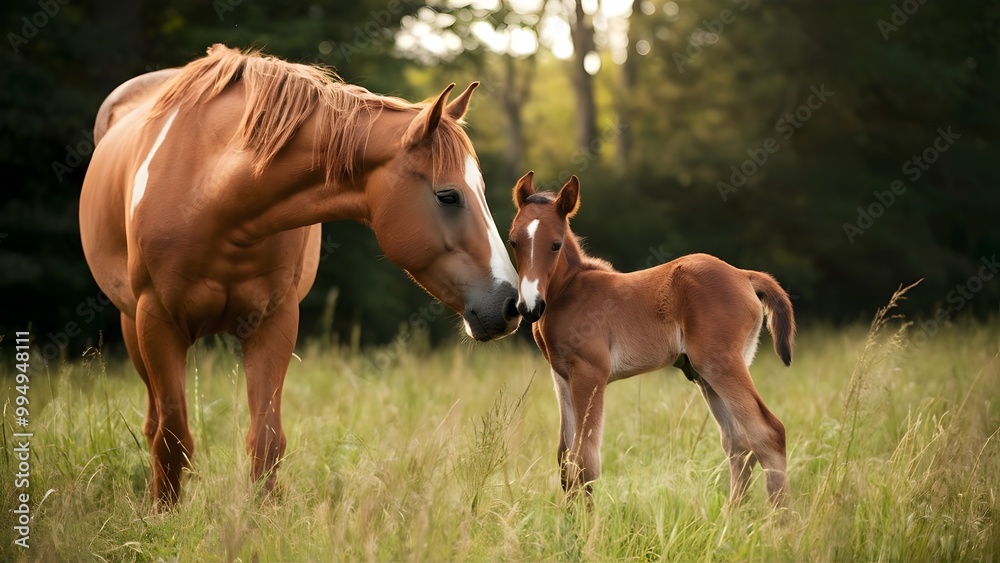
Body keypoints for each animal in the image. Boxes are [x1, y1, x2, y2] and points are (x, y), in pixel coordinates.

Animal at [79, 44, 521, 507]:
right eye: (447, 196)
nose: (510, 304)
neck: (211, 191)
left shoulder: (274, 321)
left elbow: (267, 439)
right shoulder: (158, 321)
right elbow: (172, 438)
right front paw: (164, 516)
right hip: (133, 326)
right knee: (155, 425)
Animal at [507, 172, 795, 507]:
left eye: (555, 244)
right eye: (513, 241)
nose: (529, 306)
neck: (569, 290)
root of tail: (744, 275)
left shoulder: (590, 375)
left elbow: (585, 462)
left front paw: (586, 522)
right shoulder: (562, 377)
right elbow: (566, 460)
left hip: (719, 365)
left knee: (768, 433)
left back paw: (779, 520)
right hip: (707, 373)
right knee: (739, 444)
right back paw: (729, 518)